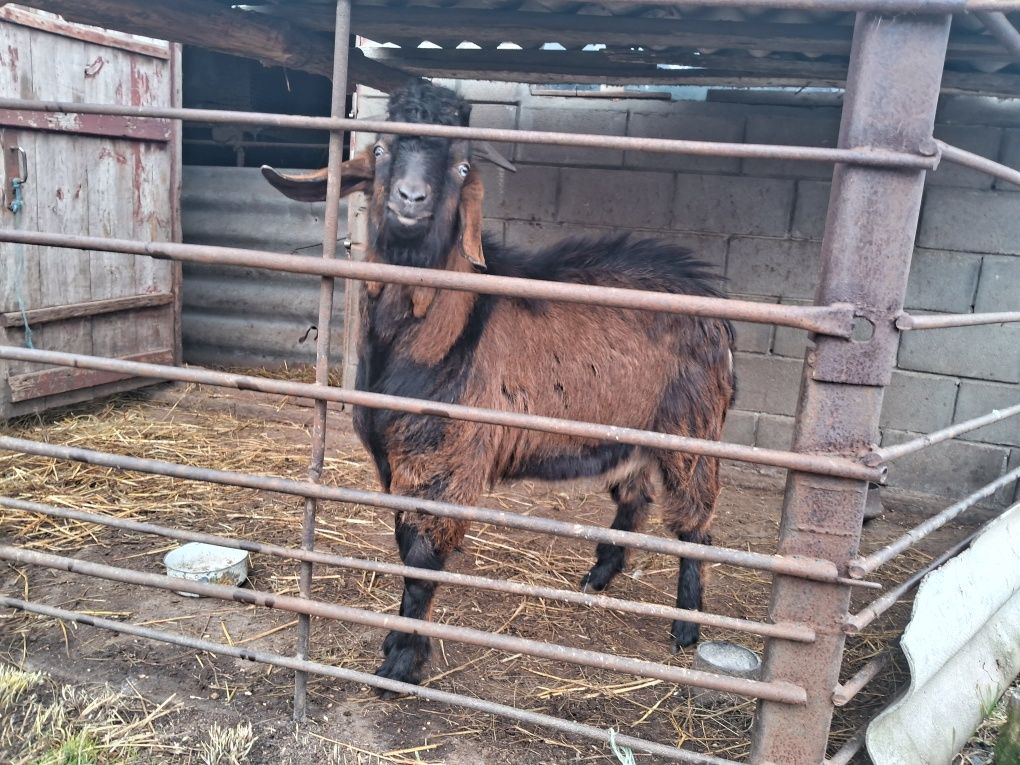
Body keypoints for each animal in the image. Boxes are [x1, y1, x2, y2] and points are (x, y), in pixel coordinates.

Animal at [263, 81, 734, 693]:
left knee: (695, 523)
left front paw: (401, 662)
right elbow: (403, 545)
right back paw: (599, 576)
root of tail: (714, 307)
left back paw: (686, 627)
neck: (437, 334)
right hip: (629, 433)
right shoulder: (395, 461)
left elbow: (421, 561)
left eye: (462, 166)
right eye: (383, 150)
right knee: (636, 498)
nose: (411, 199)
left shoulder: (446, 460)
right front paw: (396, 646)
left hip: (691, 428)